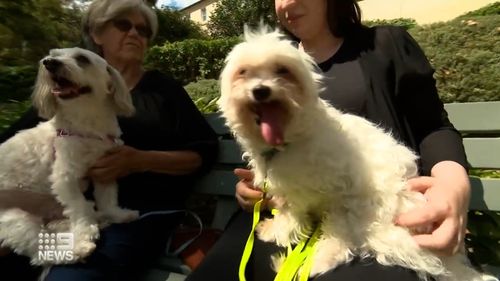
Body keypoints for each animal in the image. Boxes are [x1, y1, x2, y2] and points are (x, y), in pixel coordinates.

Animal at [0, 47, 139, 264]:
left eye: (82, 59)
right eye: (53, 54)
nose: (49, 62)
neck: (86, 125)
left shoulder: (105, 168)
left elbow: (107, 199)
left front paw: (116, 215)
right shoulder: (65, 177)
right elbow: (79, 206)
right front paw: (85, 233)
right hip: (14, 218)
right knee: (40, 250)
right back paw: (78, 248)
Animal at [219, 26, 496, 280]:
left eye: (282, 71)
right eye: (243, 73)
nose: (261, 90)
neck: (289, 140)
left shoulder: (318, 193)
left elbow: (294, 215)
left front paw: (280, 232)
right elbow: (287, 211)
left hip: (357, 209)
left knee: (341, 245)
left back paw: (310, 265)